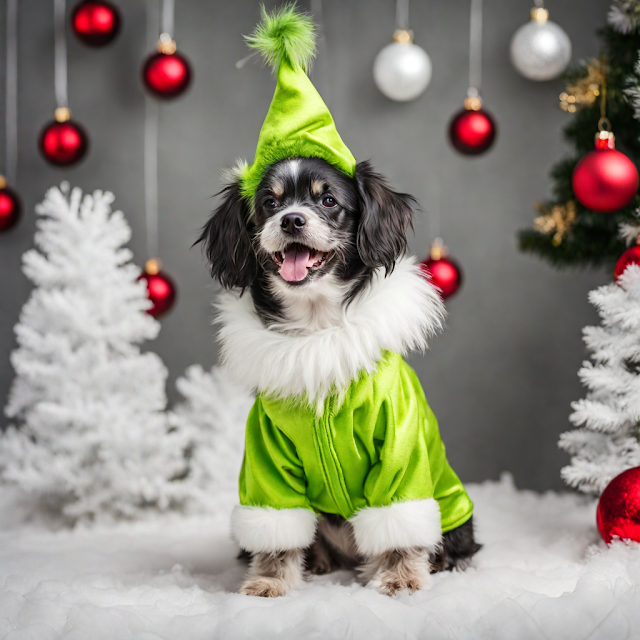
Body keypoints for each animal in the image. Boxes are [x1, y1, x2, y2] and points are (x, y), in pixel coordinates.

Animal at [199, 158, 480, 596]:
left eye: (329, 200)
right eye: (268, 203)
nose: (291, 220)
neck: (317, 335)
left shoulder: (398, 447)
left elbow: (399, 522)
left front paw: (400, 576)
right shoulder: (268, 458)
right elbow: (276, 531)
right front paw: (270, 580)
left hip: (452, 508)